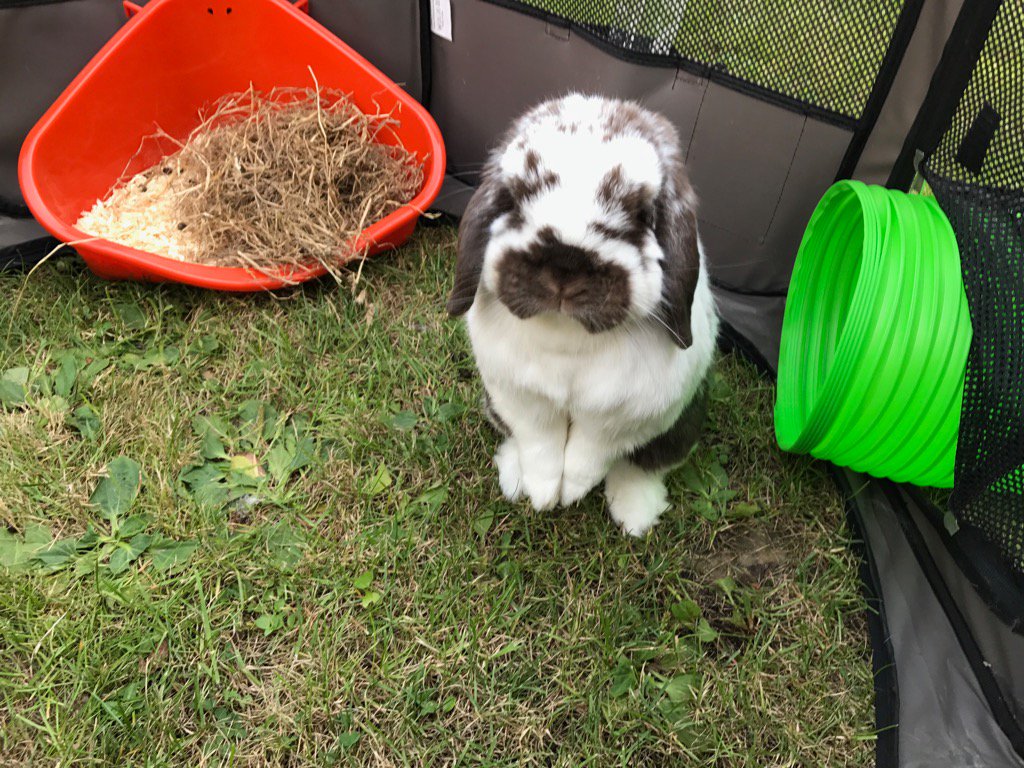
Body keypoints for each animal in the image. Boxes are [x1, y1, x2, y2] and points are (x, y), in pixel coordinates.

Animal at [447, 93, 719, 536]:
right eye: (513, 197)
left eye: (642, 214)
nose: (564, 262)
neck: (567, 336)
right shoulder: (522, 400)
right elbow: (540, 447)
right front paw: (542, 496)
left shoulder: (621, 418)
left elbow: (588, 456)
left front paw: (569, 494)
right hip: (492, 405)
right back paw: (513, 478)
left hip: (681, 427)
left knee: (644, 465)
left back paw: (635, 517)